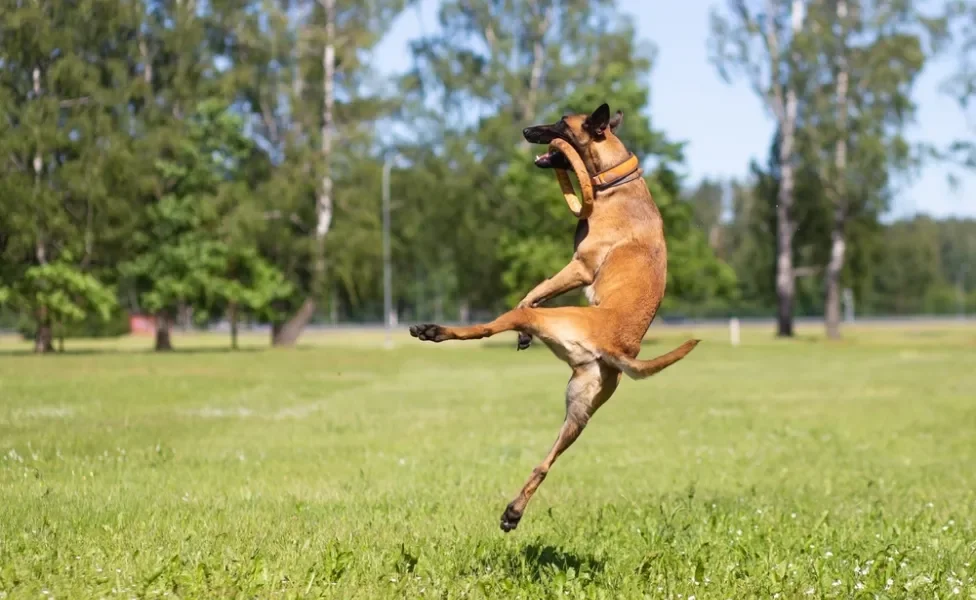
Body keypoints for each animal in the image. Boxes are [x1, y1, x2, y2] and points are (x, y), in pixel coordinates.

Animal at [408, 104, 696, 536]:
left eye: (562, 123)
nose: (528, 130)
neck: (615, 179)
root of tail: (616, 347)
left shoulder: (580, 266)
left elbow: (537, 287)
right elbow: (539, 288)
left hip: (545, 337)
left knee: (490, 325)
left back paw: (432, 330)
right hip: (578, 415)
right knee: (545, 463)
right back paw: (513, 512)